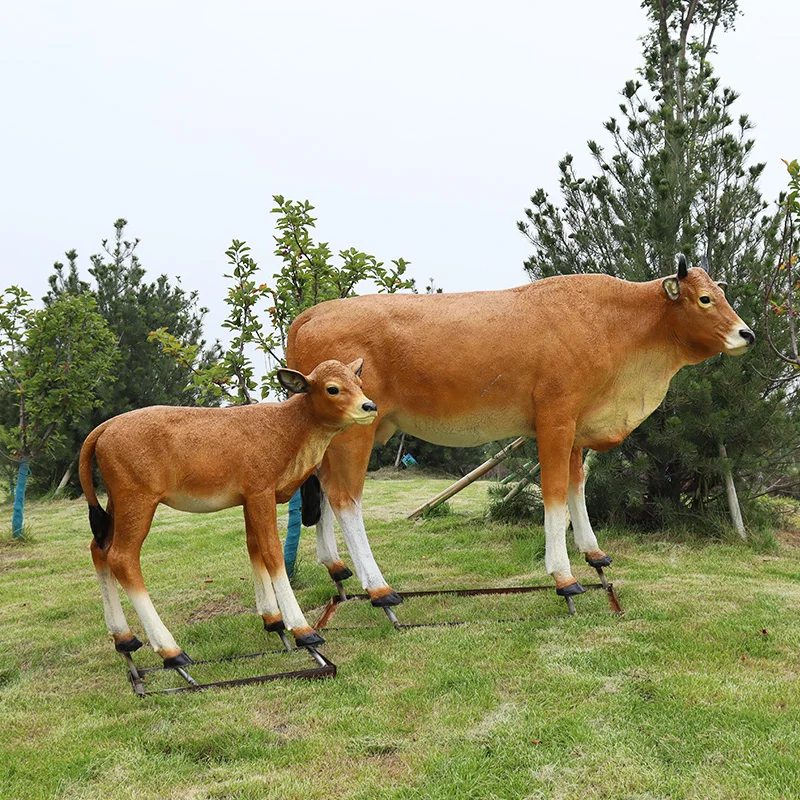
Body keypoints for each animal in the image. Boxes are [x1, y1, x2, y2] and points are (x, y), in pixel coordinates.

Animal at [79, 359, 376, 668]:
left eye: (359, 384)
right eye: (333, 389)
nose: (370, 406)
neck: (288, 428)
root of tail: (104, 427)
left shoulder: (247, 498)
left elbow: (254, 547)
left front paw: (273, 620)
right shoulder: (260, 492)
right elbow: (272, 551)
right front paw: (302, 630)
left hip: (117, 503)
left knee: (98, 549)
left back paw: (124, 639)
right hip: (137, 500)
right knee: (122, 557)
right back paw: (171, 651)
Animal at [285, 256, 754, 609]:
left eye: (723, 295)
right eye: (705, 299)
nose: (746, 333)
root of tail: (313, 312)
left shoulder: (577, 426)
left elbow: (576, 486)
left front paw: (595, 554)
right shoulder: (555, 419)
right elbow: (554, 492)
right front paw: (564, 576)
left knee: (322, 486)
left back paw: (336, 567)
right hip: (354, 432)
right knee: (345, 498)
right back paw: (378, 588)